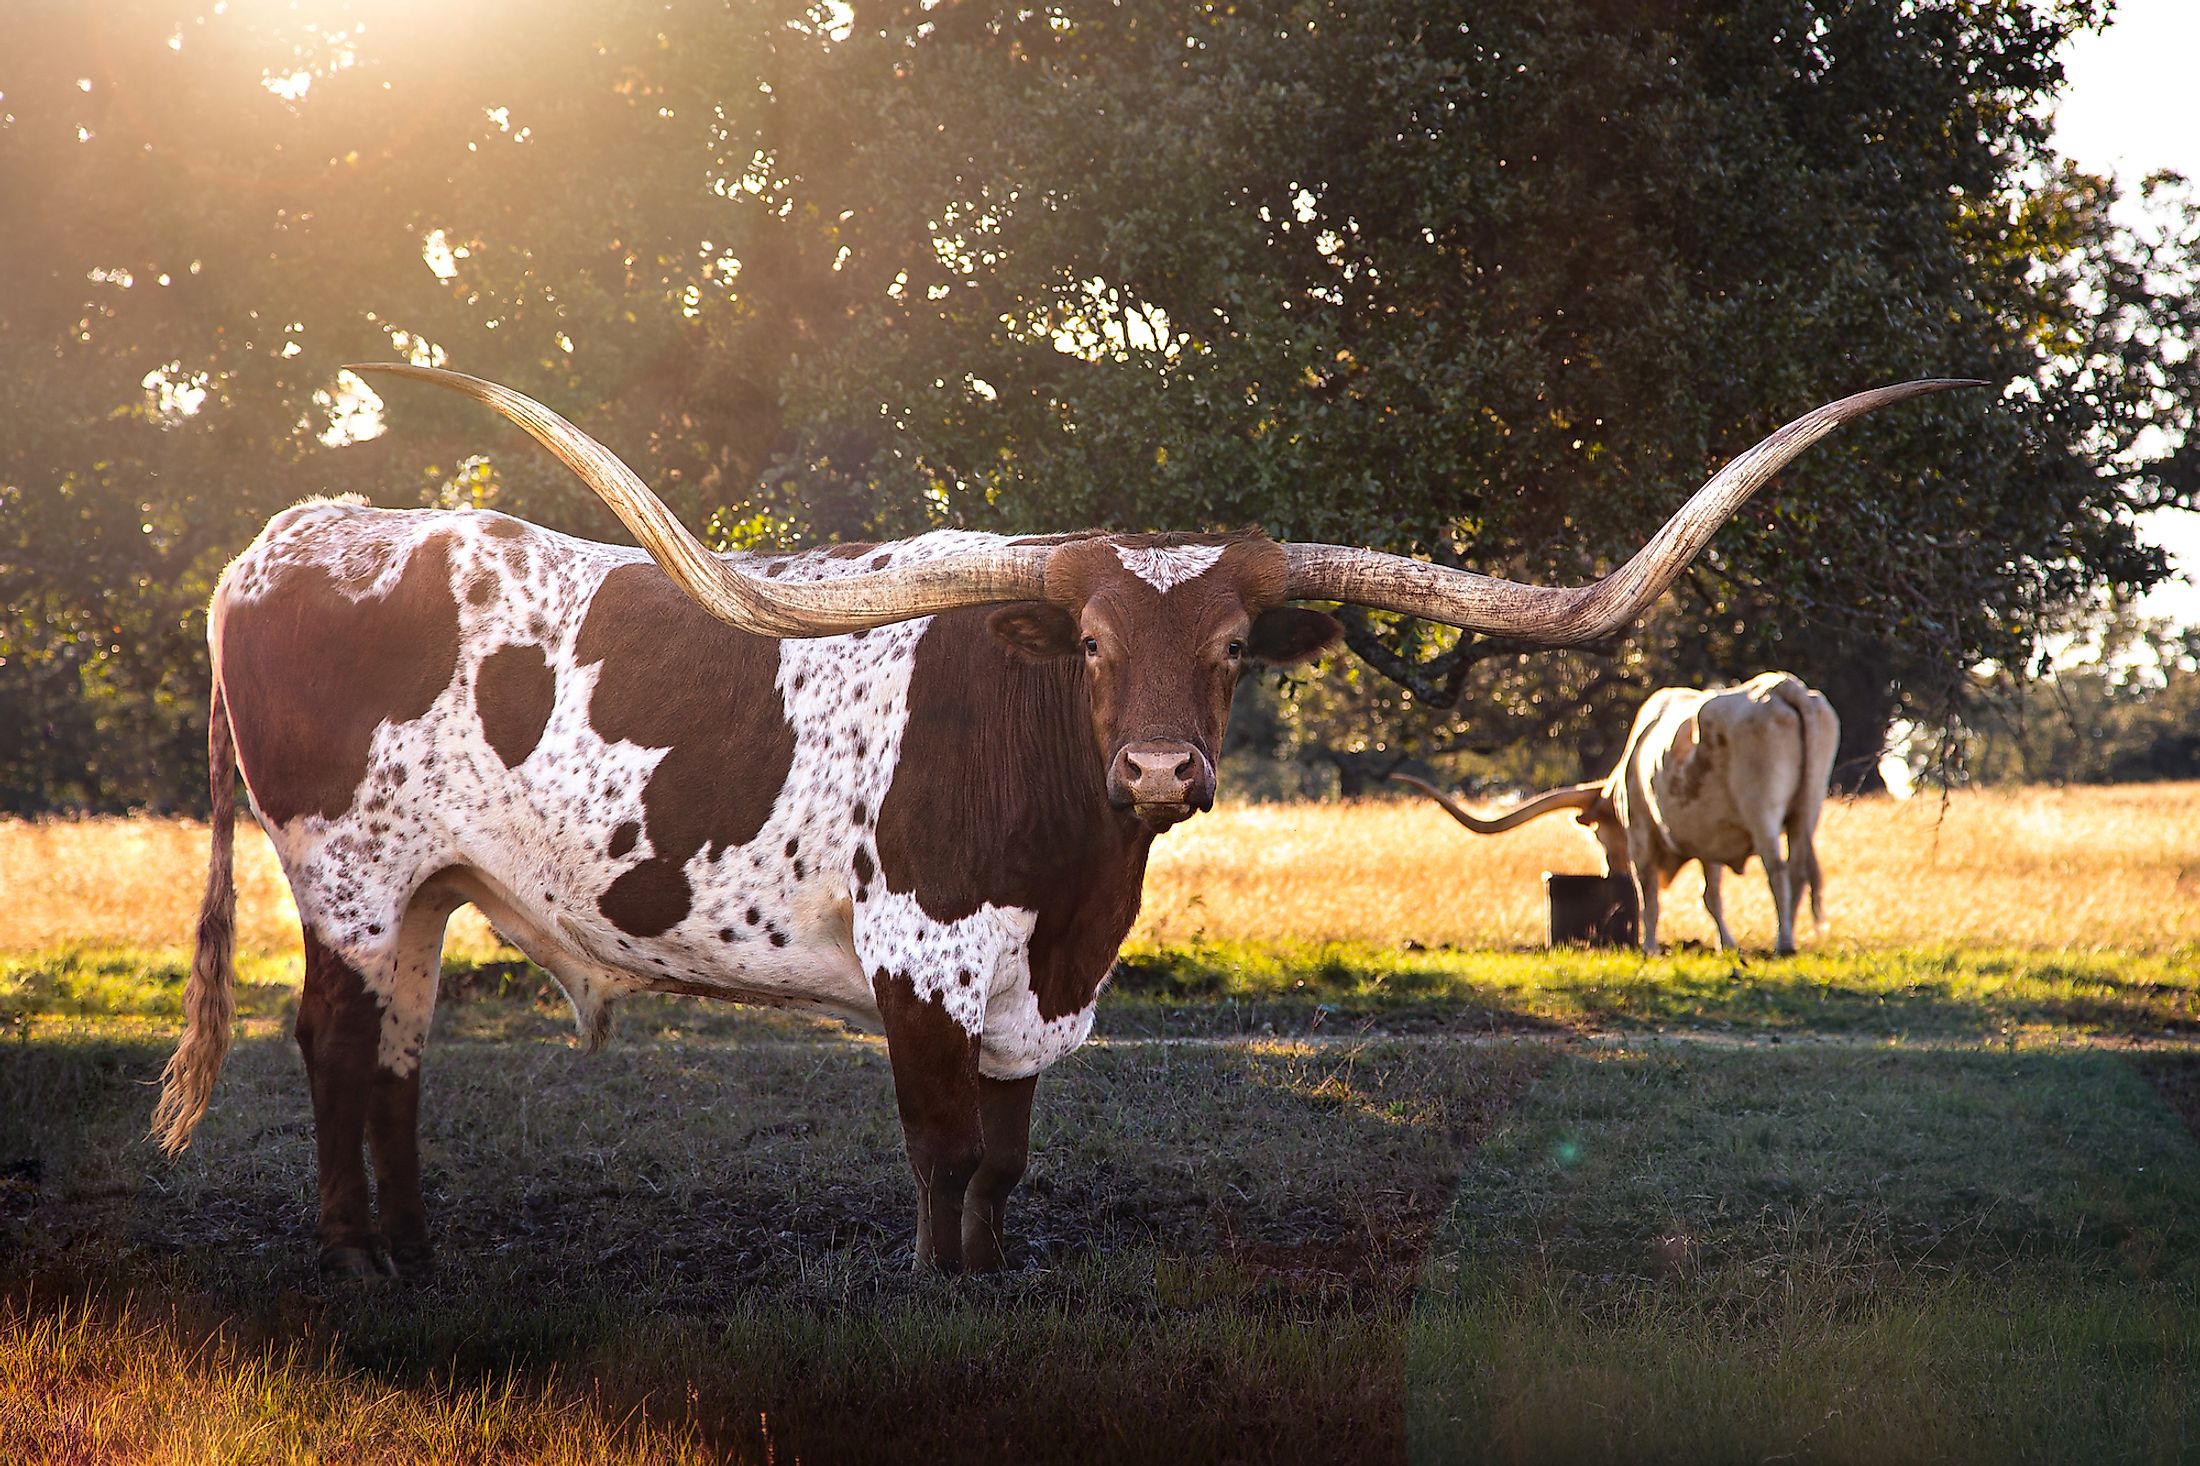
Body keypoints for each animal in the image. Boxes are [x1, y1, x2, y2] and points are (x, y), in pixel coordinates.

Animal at [1390, 669, 1839, 955]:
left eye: (1597, 832)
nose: (1610, 868)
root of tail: (1783, 688)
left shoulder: (1642, 836)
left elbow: (1648, 896)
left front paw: (1650, 947)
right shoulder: (1707, 837)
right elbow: (1712, 895)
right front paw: (1725, 945)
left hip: (1762, 812)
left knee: (1779, 869)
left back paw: (1783, 942)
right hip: (1806, 810)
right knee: (1800, 868)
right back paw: (1793, 938)